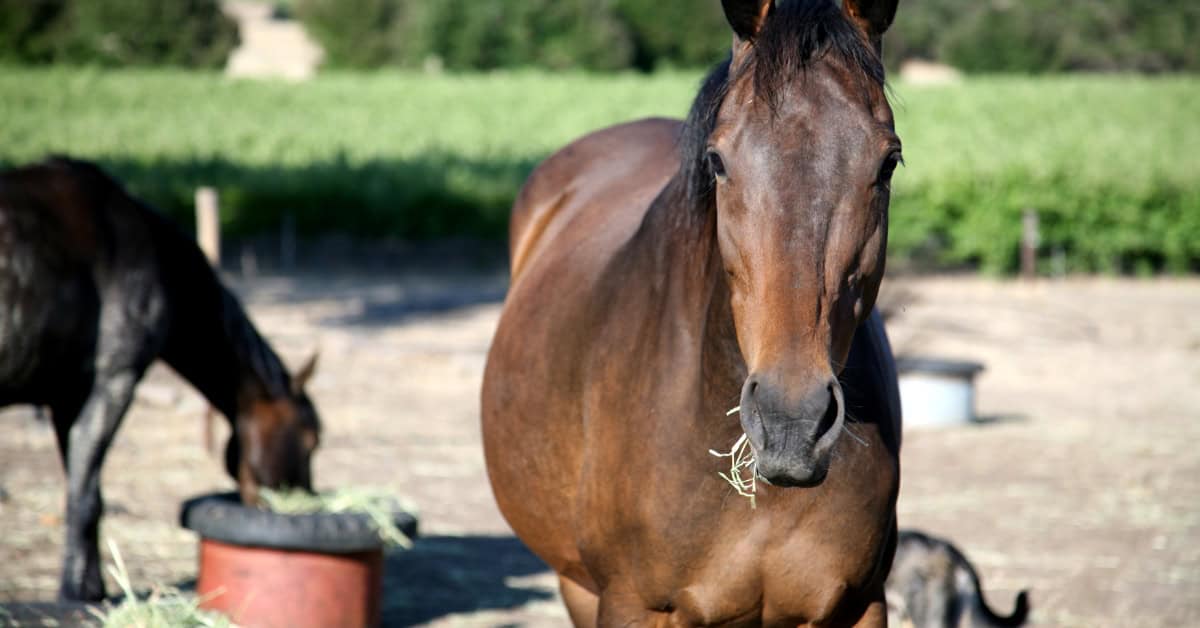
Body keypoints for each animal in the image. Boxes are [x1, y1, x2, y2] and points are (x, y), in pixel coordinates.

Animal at [0, 157, 321, 601]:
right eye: (311, 440)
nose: (303, 500)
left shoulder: (68, 398)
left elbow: (84, 490)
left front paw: (91, 586)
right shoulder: (113, 384)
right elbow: (86, 498)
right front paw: (77, 592)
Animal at [482, 0, 903, 625]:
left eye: (888, 162)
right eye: (718, 160)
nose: (791, 422)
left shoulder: (861, 604)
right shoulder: (630, 604)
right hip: (576, 583)